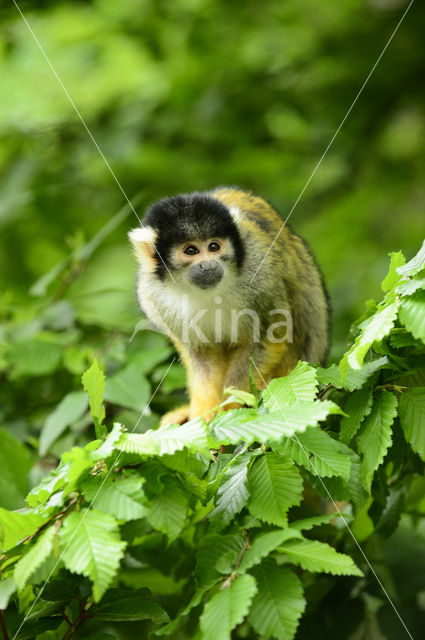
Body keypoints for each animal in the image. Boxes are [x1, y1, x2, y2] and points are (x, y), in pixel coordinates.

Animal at [127, 186, 330, 424]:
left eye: (214, 246)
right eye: (191, 251)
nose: (208, 265)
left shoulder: (259, 271)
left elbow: (270, 335)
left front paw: (229, 407)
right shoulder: (152, 295)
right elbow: (201, 355)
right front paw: (204, 415)